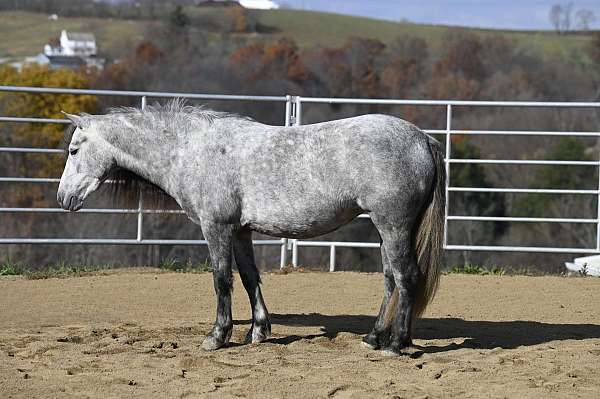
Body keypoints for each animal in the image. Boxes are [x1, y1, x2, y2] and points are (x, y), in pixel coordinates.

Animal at [57, 102, 446, 356]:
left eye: (74, 150)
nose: (63, 198)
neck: (192, 150)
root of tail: (422, 139)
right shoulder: (240, 230)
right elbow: (248, 278)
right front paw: (257, 332)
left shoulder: (216, 227)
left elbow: (221, 280)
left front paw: (217, 336)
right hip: (386, 230)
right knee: (390, 279)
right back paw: (374, 337)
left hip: (393, 226)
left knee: (407, 277)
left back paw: (395, 344)